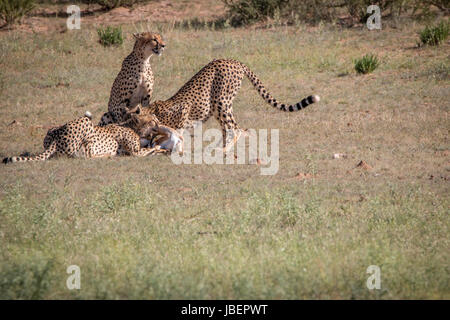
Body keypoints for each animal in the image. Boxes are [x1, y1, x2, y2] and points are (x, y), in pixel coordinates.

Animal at [127, 58, 320, 151]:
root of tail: (234, 61)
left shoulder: (182, 113)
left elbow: (176, 131)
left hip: (220, 102)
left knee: (235, 127)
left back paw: (225, 149)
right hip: (222, 104)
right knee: (230, 127)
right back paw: (221, 145)